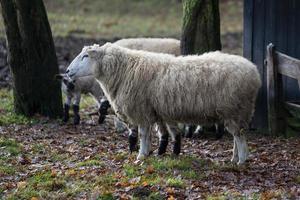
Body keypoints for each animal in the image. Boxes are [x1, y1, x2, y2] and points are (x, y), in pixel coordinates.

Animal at [86, 43, 260, 164]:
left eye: (85, 56)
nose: (69, 72)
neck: (126, 69)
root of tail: (254, 72)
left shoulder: (142, 111)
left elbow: (143, 134)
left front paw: (141, 156)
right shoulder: (154, 111)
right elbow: (156, 134)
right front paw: (152, 153)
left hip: (235, 109)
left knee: (239, 136)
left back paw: (241, 160)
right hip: (234, 112)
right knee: (237, 135)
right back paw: (234, 158)